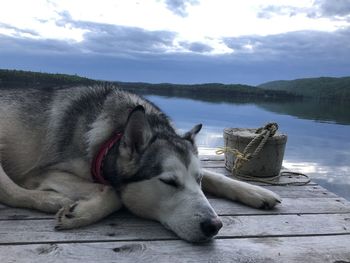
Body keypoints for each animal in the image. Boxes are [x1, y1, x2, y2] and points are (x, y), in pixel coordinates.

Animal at [0, 86, 280, 243]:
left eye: (198, 179)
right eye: (168, 182)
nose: (214, 225)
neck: (111, 137)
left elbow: (218, 176)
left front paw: (256, 192)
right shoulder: (44, 173)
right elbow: (115, 194)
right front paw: (79, 213)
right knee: (10, 192)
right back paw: (52, 200)